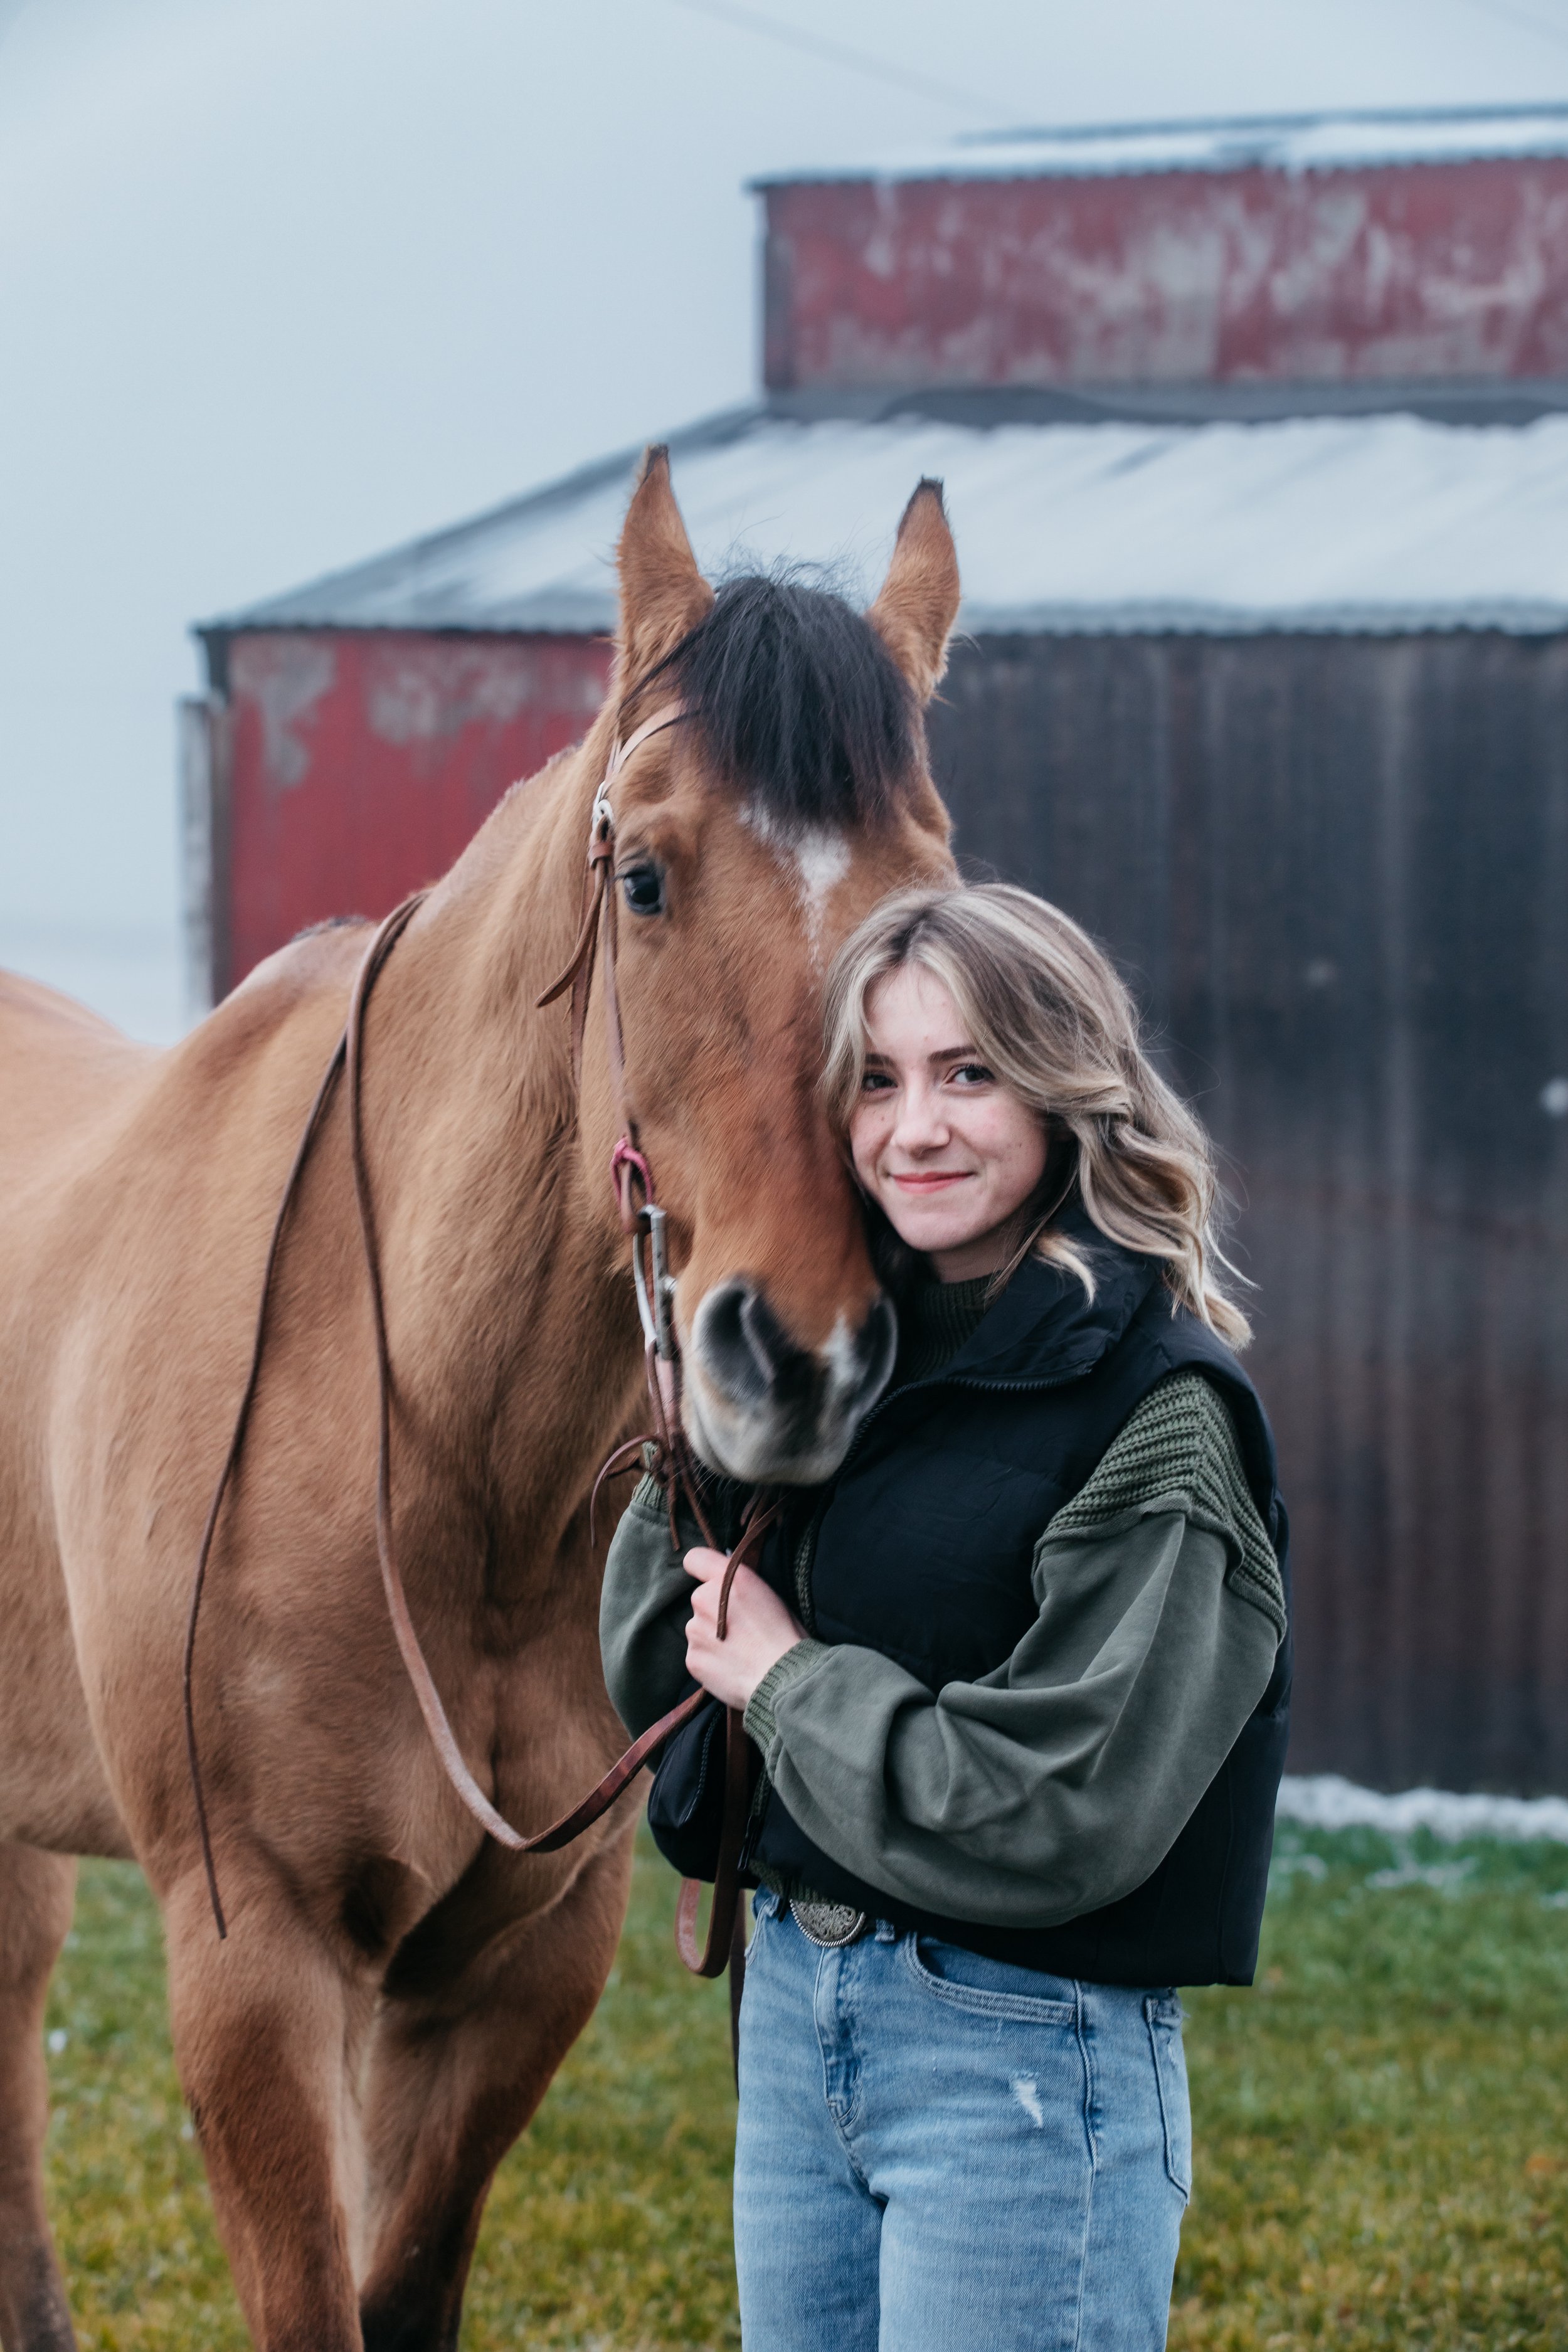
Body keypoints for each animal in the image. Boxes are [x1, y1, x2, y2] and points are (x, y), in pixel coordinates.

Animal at [0, 449, 961, 2351]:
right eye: (645, 876)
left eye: (927, 895)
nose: (801, 1351)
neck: (426, 1447)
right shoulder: (257, 1958)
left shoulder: (512, 1964)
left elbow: (408, 2287)